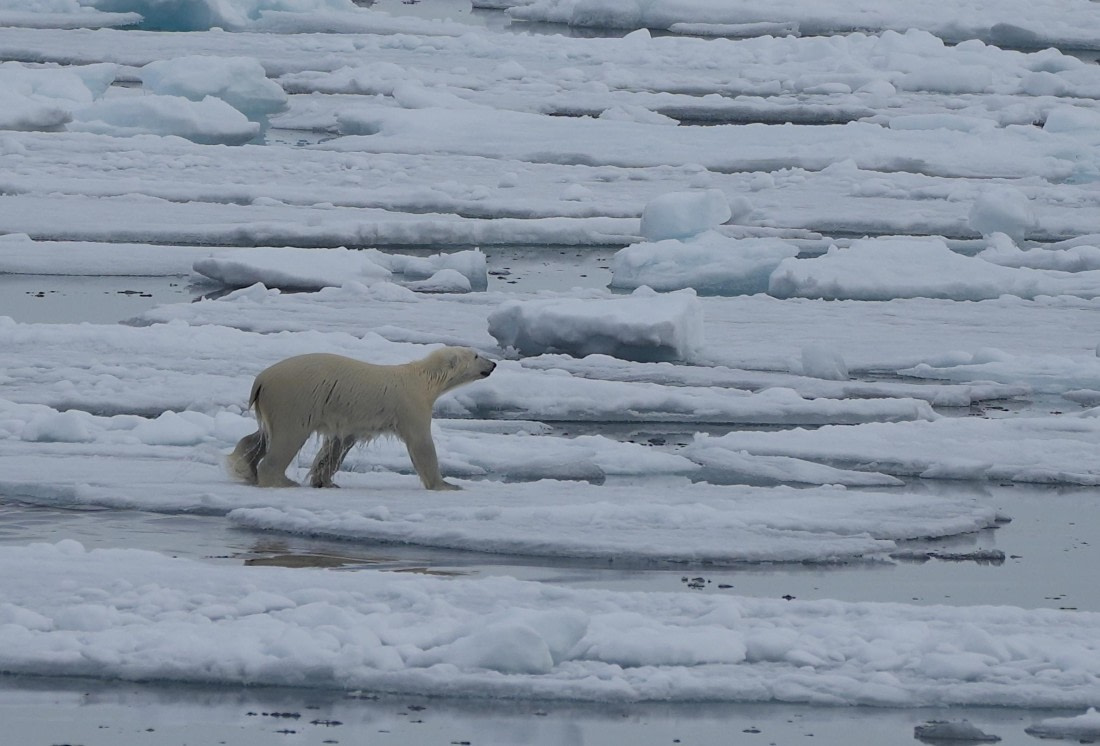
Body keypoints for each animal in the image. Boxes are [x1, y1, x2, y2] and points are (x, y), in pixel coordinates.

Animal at [226, 347, 496, 489]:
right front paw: (447, 485)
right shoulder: (411, 405)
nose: (493, 364)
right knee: (287, 438)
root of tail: (261, 381)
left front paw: (325, 481)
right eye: (475, 355)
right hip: (294, 401)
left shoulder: (349, 420)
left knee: (261, 436)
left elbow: (337, 445)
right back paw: (282, 480)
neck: (423, 379)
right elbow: (421, 444)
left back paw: (246, 468)